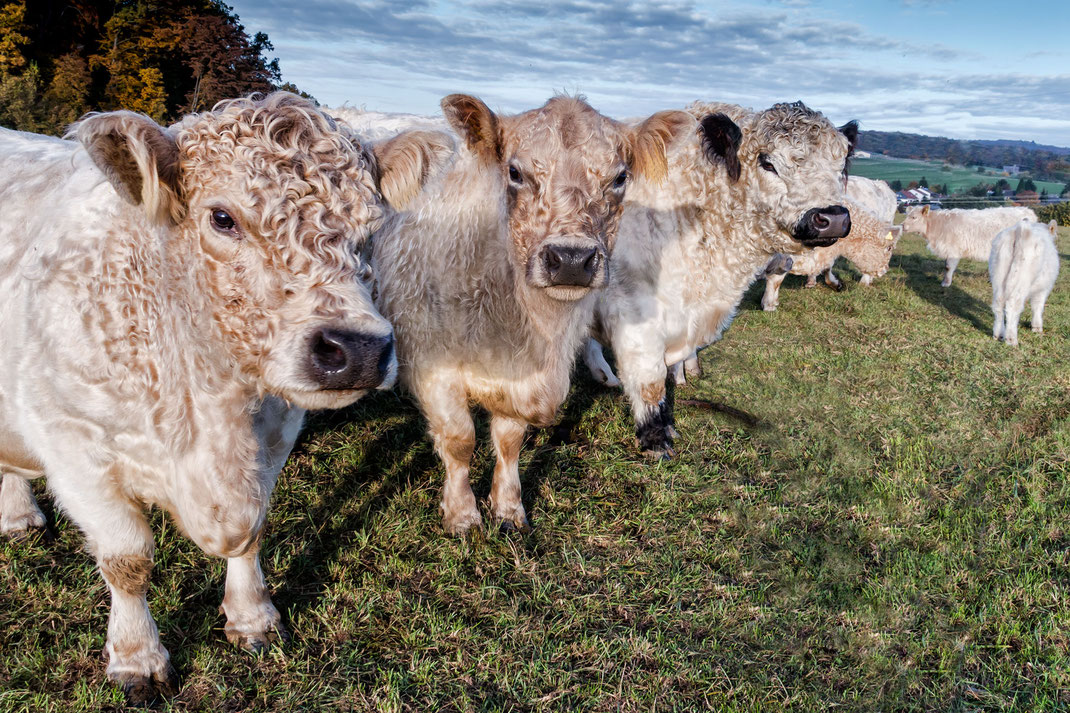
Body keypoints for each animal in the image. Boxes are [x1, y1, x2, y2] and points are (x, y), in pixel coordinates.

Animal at [0, 91, 449, 702]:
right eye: (221, 217)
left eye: (371, 226)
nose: (357, 349)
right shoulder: (75, 446)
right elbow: (127, 560)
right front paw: (138, 658)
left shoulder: (276, 433)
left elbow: (252, 530)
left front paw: (252, 616)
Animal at [363, 91, 689, 531]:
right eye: (515, 172)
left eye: (620, 177)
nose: (571, 259)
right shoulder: (432, 366)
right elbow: (459, 439)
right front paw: (462, 514)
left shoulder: (523, 379)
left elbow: (510, 440)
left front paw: (507, 507)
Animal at [582, 100, 856, 456]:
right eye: (767, 162)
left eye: (842, 162)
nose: (832, 218)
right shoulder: (632, 310)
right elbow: (649, 380)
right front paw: (656, 439)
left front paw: (687, 374)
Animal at [761, 196, 903, 308]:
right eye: (889, 248)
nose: (885, 270)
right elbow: (776, 278)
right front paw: (769, 303)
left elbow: (827, 268)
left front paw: (835, 284)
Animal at [898, 202, 1040, 286]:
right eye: (907, 215)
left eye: (914, 217)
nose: (902, 225)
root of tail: (1028, 211)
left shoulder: (953, 250)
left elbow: (948, 267)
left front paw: (946, 283)